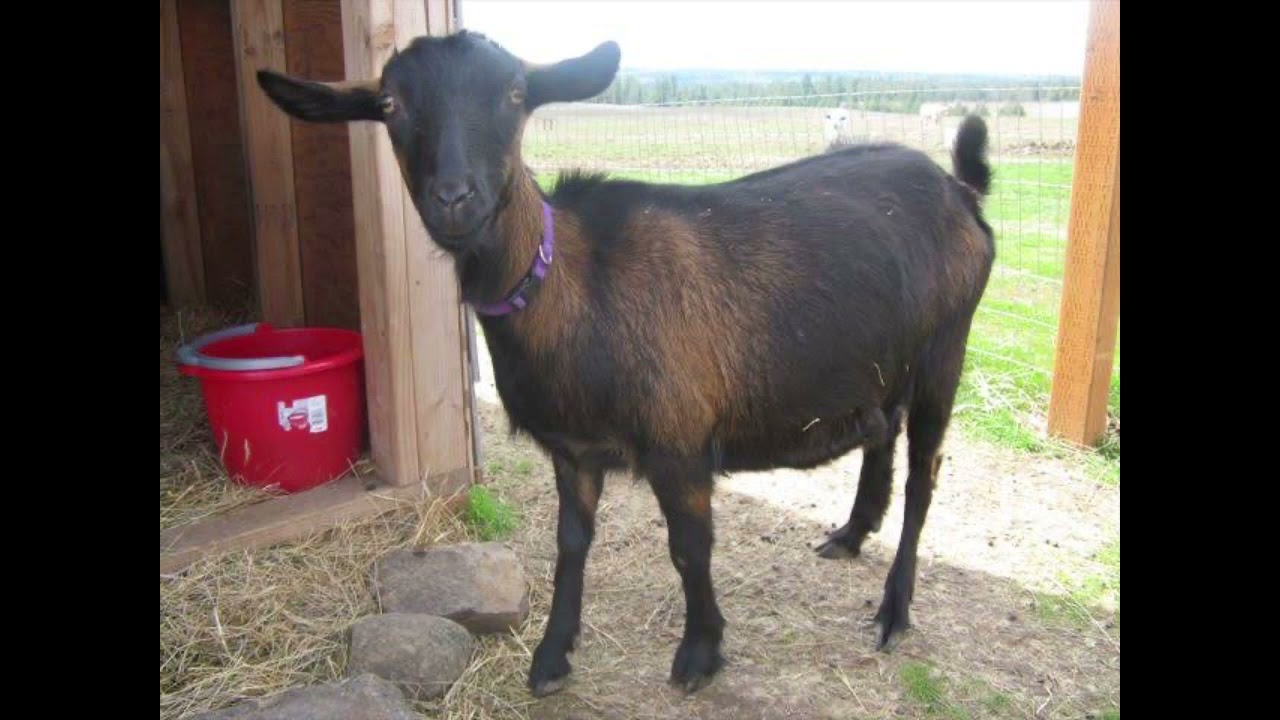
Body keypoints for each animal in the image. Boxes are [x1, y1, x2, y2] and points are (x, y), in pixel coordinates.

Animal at [256, 31, 995, 697]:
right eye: (390, 104)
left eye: (516, 94)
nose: (455, 198)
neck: (575, 287)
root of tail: (961, 189)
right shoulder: (573, 449)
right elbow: (569, 545)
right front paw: (552, 656)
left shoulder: (679, 440)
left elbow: (689, 549)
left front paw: (700, 653)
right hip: (883, 361)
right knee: (883, 430)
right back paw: (852, 532)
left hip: (945, 351)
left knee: (925, 477)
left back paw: (894, 609)